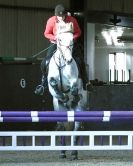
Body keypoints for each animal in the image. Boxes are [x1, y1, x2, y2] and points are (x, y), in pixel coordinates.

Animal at [47, 30, 85, 160]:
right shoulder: (51, 85)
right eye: (59, 40)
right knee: (62, 128)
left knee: (76, 129)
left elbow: (74, 89)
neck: (62, 64)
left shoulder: (74, 81)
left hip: (79, 111)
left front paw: (71, 98)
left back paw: (74, 153)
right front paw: (64, 98)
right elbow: (53, 85)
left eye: (72, 40)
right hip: (58, 111)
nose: (69, 60)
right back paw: (62, 153)